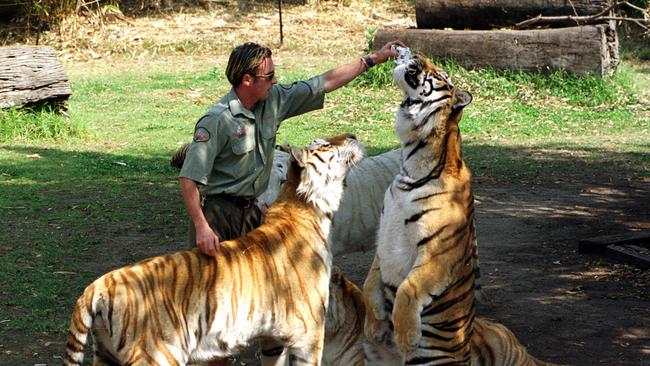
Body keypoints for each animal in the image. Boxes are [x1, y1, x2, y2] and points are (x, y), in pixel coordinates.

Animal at [64, 134, 364, 366]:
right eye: (325, 145)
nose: (352, 135)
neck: (305, 205)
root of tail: (98, 286)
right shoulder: (310, 334)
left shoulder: (273, 339)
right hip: (158, 355)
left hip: (106, 355)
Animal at [362, 55, 556, 366]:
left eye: (440, 73)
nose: (416, 55)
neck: (412, 164)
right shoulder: (384, 238)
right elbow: (370, 279)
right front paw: (373, 322)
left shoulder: (437, 253)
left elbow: (407, 289)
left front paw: (405, 337)